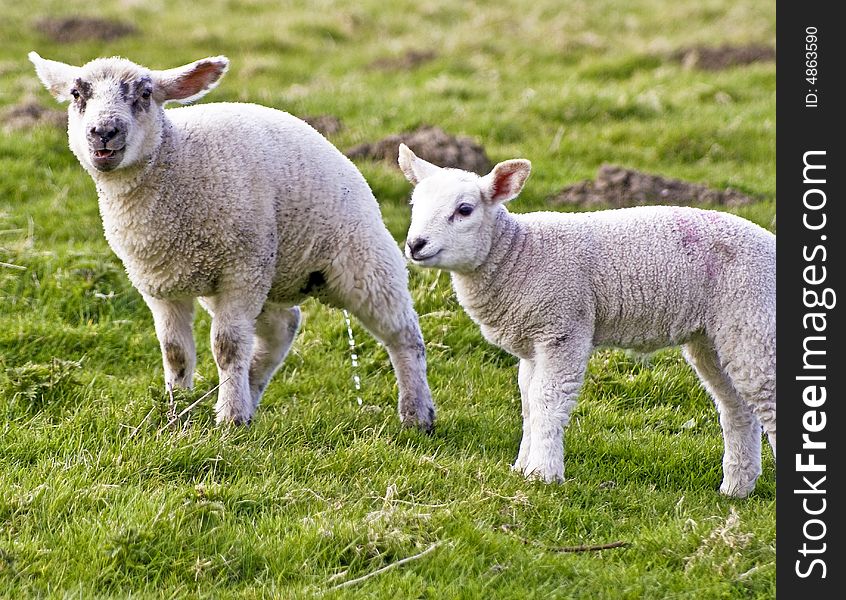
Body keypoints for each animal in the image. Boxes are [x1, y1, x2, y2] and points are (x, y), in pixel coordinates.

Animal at [400, 144, 780, 496]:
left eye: (464, 210)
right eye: (414, 206)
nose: (415, 244)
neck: (517, 255)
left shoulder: (563, 327)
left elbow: (548, 400)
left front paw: (543, 475)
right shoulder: (534, 341)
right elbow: (528, 400)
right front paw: (522, 467)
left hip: (754, 317)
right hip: (717, 335)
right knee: (737, 408)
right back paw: (737, 488)